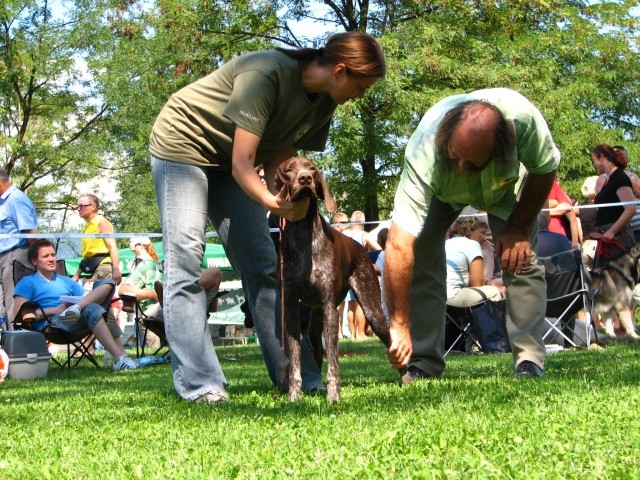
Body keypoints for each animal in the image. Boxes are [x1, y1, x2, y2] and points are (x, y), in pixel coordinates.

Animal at [274, 158, 400, 402]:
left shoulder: (330, 309)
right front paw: (294, 396)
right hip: (315, 323)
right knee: (315, 352)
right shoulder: (291, 309)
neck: (304, 236)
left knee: (392, 343)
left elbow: (333, 361)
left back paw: (407, 376)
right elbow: (295, 360)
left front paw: (334, 397)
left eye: (312, 168)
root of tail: (361, 249)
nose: (305, 178)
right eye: (289, 169)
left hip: (372, 310)